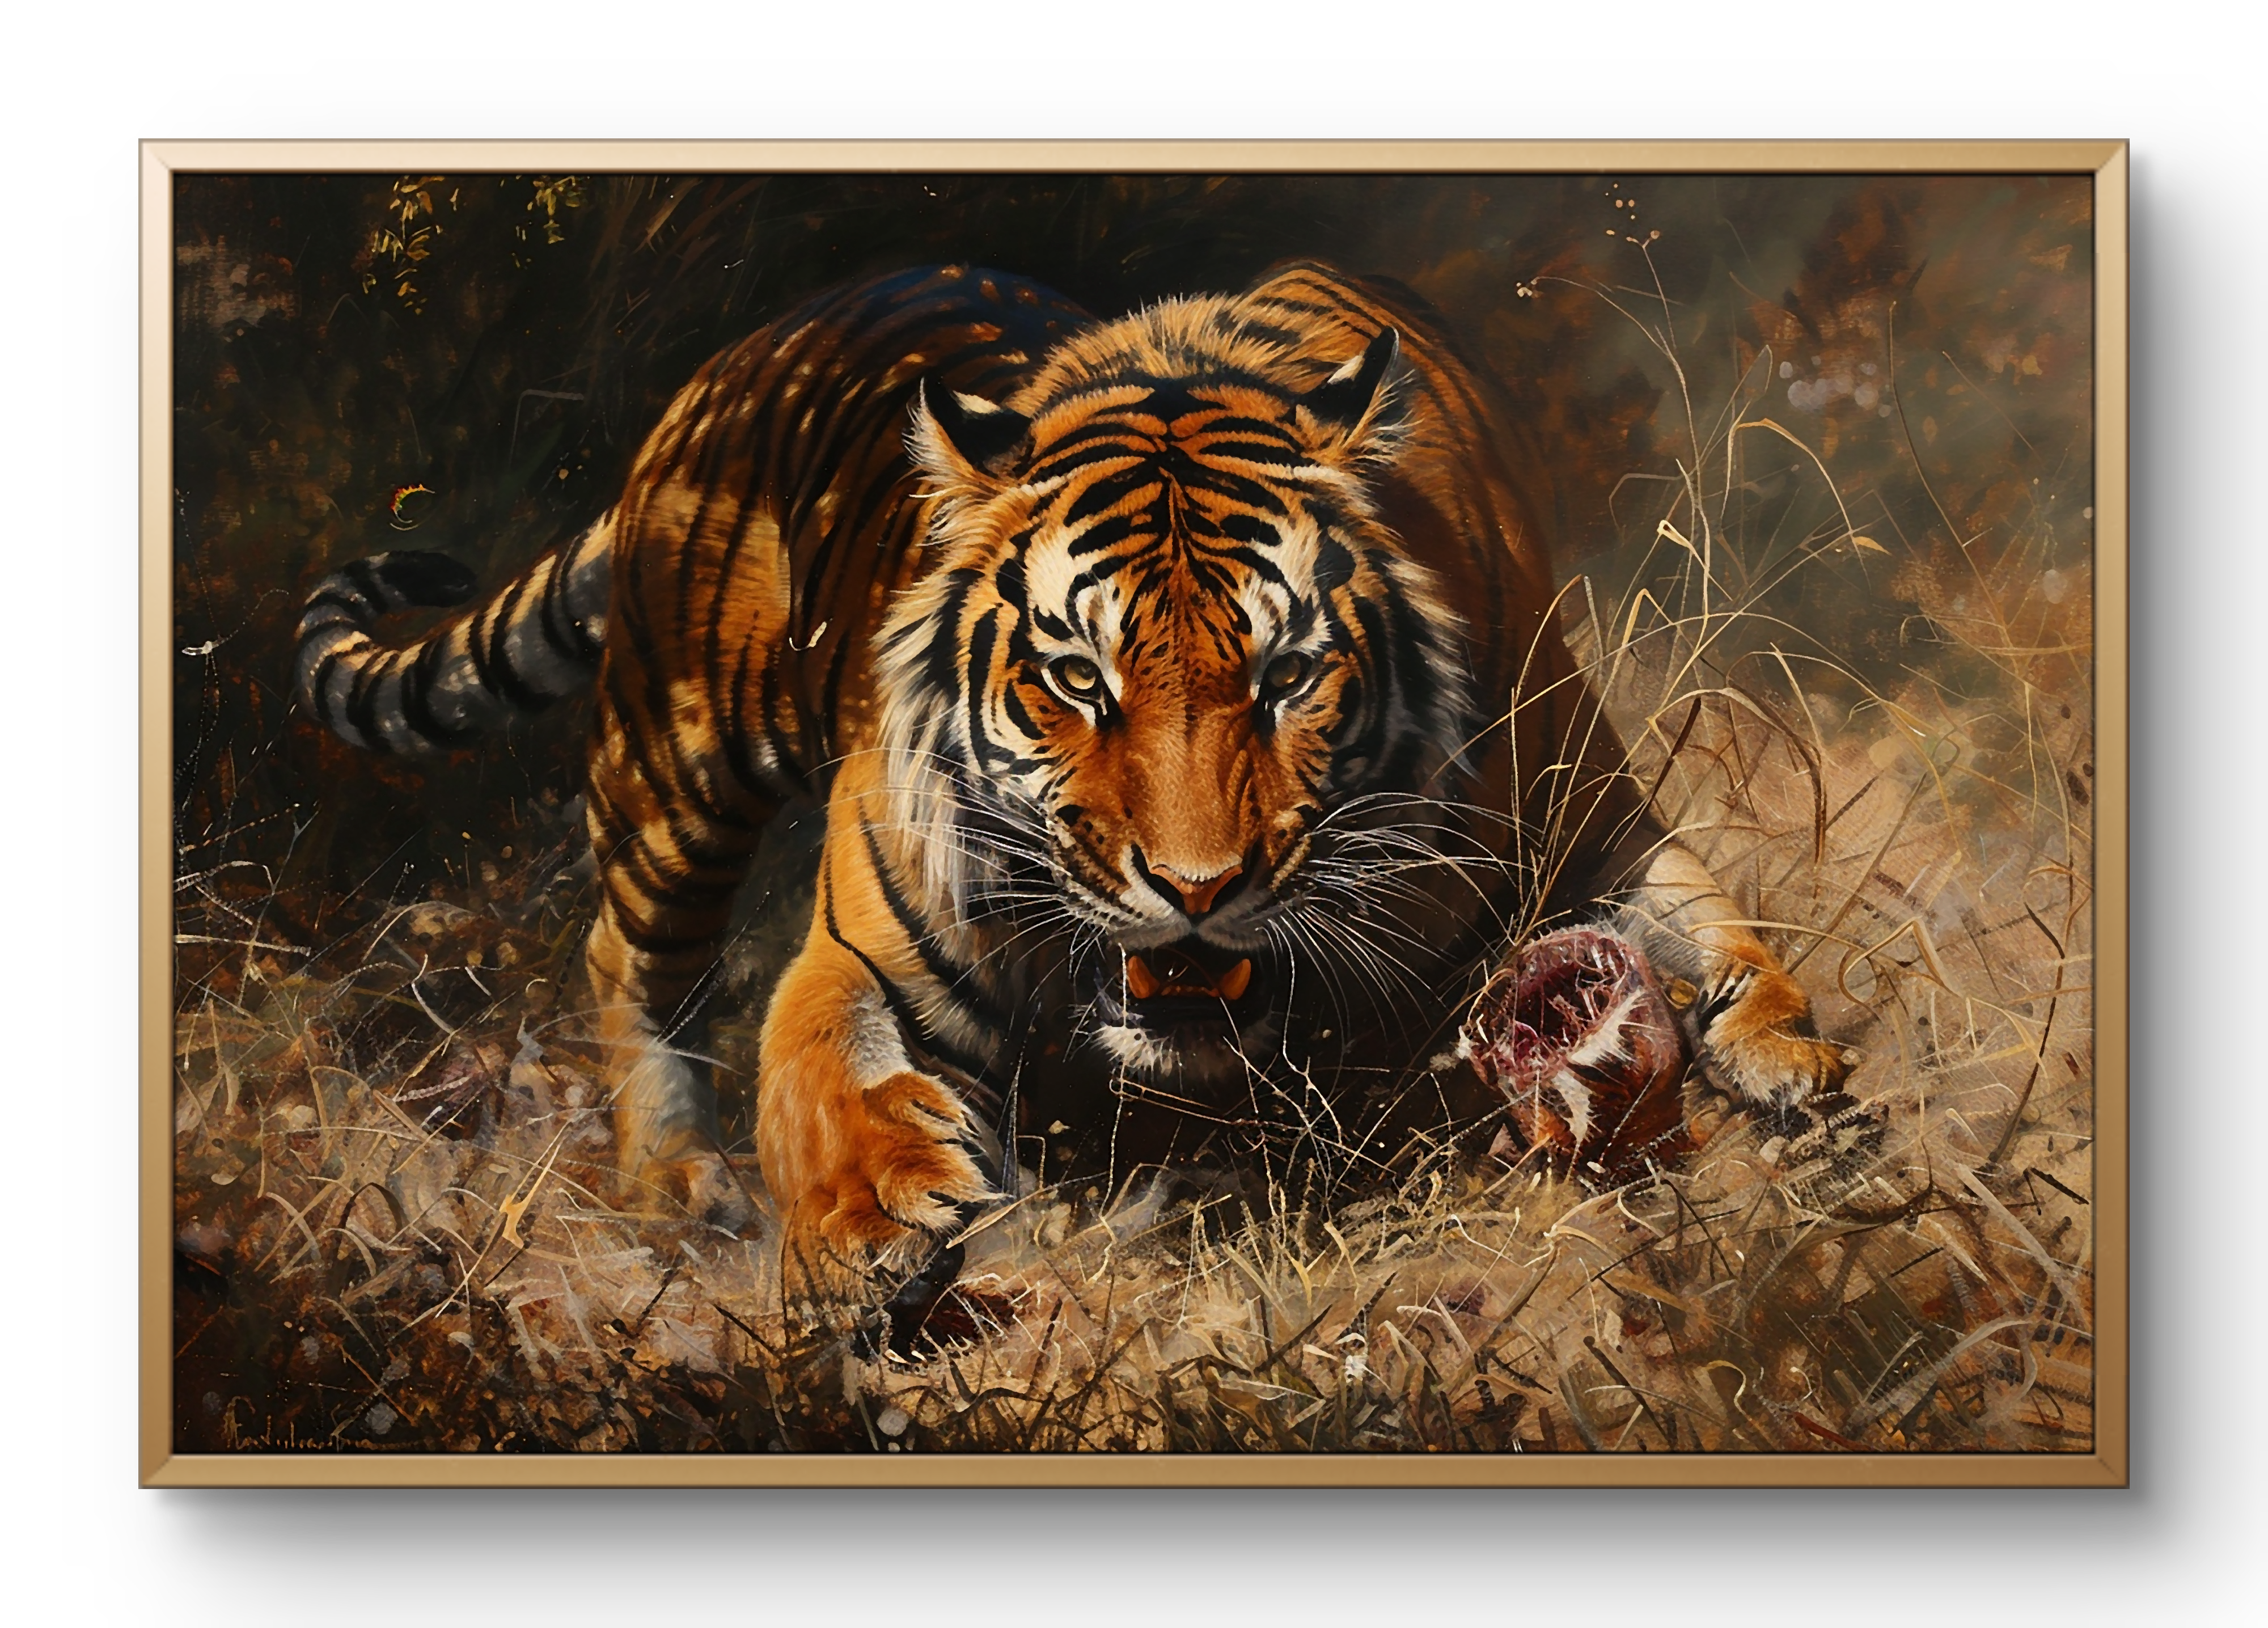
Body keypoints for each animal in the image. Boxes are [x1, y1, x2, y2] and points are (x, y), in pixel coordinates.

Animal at [295, 262, 1850, 1294]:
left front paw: (1786, 1053)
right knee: (633, 961)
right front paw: (872, 1215)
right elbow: (812, 1062)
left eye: (1286, 674)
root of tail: (751, 343)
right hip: (675, 764)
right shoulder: (861, 937)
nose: (1197, 888)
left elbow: (1709, 924)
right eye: (1075, 678)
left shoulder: (1592, 824)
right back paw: (680, 1178)